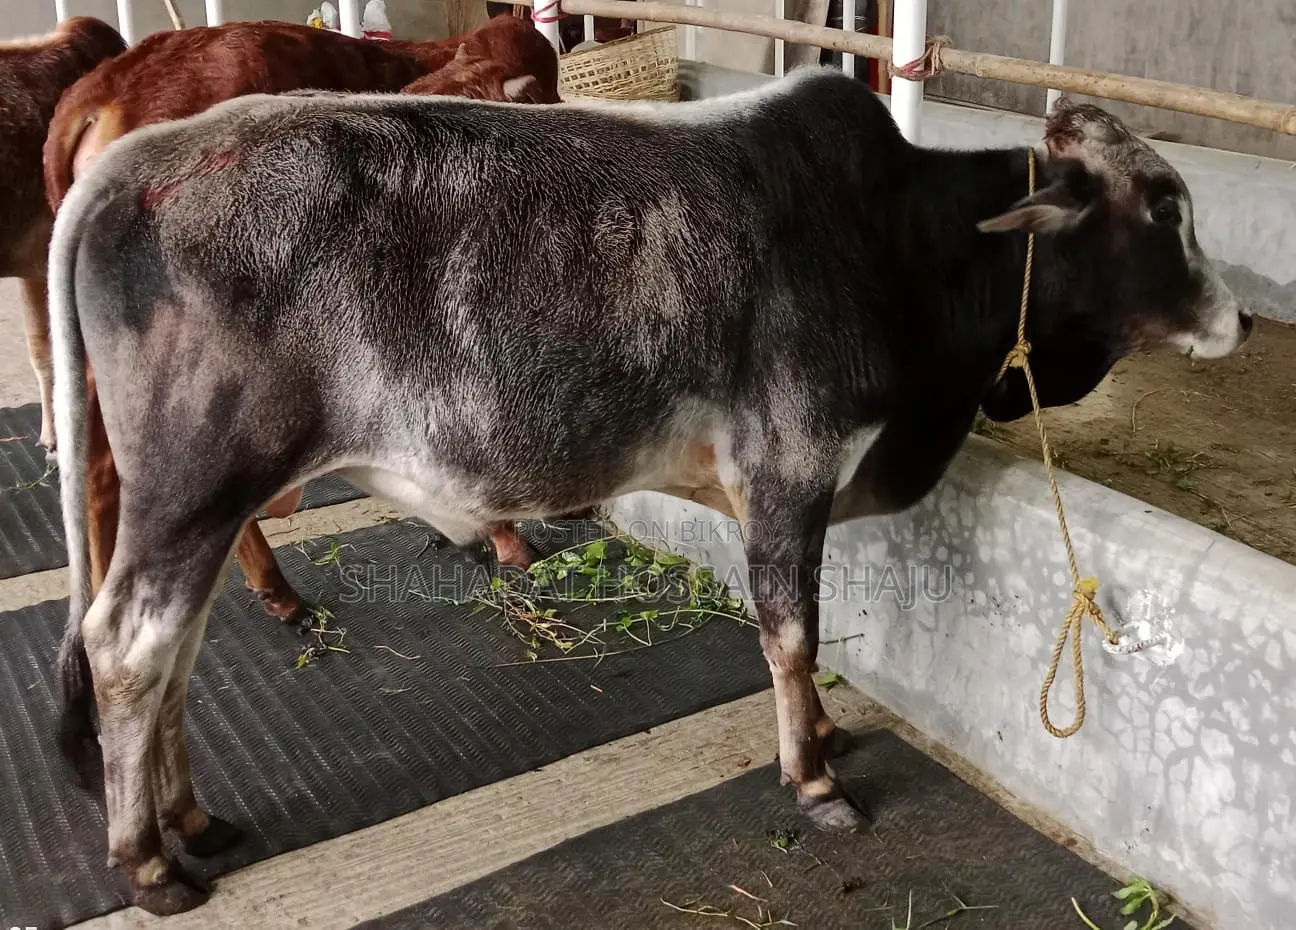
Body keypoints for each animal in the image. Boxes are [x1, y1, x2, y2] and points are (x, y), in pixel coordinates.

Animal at [46, 68, 1250, 914]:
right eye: (1163, 209)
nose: (1239, 320)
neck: (895, 244)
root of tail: (139, 159)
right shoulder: (789, 465)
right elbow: (793, 630)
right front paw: (815, 781)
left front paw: (827, 739)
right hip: (194, 491)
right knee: (127, 651)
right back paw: (148, 862)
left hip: (200, 511)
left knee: (174, 653)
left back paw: (194, 819)